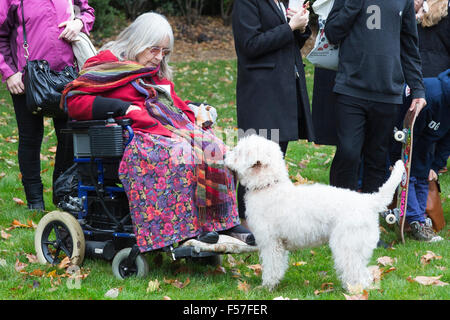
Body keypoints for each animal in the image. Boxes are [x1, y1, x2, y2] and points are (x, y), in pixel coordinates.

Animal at [225, 134, 404, 292]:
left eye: (238, 152)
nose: (225, 154)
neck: (268, 186)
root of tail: (368, 201)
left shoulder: (271, 243)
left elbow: (272, 267)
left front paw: (266, 287)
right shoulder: (279, 245)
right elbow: (279, 266)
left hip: (348, 246)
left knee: (357, 274)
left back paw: (354, 291)